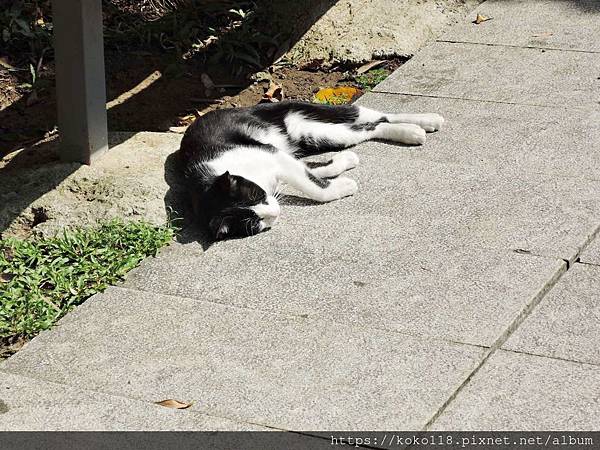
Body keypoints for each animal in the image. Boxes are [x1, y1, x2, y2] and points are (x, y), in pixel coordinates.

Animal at [176, 101, 442, 239]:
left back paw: (423, 123)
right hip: (316, 136)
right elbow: (311, 171)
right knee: (369, 127)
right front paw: (342, 166)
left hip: (312, 116)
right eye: (256, 224)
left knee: (372, 117)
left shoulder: (270, 153)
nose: (275, 212)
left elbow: (312, 184)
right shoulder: (282, 158)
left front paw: (344, 185)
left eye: (255, 194)